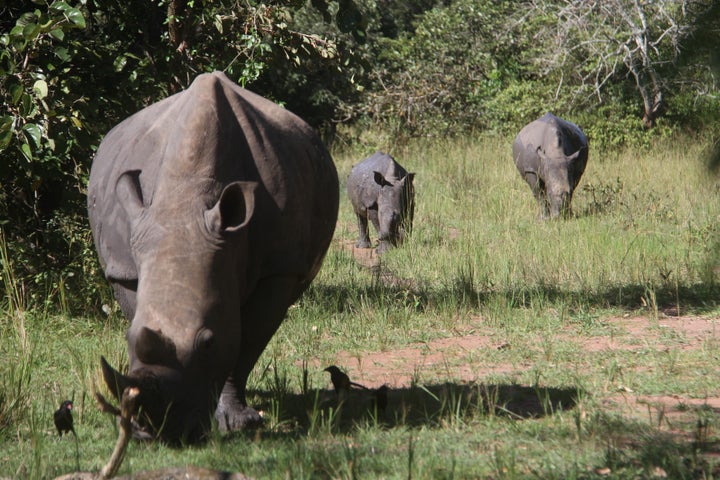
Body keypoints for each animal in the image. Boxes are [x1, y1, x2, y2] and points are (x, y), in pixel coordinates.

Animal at [87, 70, 340, 442]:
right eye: (127, 340)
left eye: (207, 343)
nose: (165, 433)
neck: (187, 199)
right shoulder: (127, 265)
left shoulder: (278, 268)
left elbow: (246, 342)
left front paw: (237, 422)